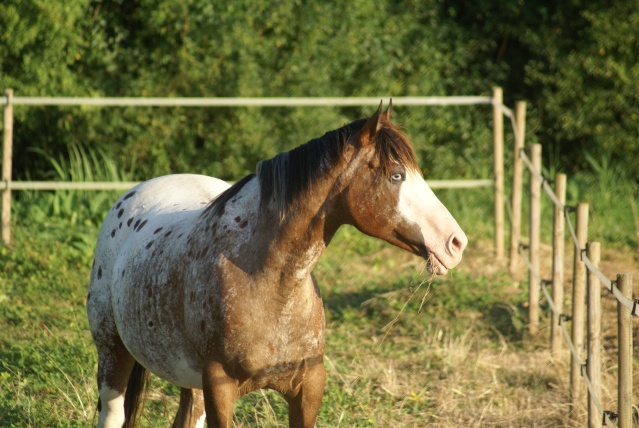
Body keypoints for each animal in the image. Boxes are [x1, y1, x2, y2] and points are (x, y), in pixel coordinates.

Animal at [86, 101, 464, 428]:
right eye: (396, 176)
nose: (456, 242)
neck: (272, 284)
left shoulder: (308, 388)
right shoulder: (220, 388)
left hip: (189, 379)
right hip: (112, 351)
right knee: (113, 414)